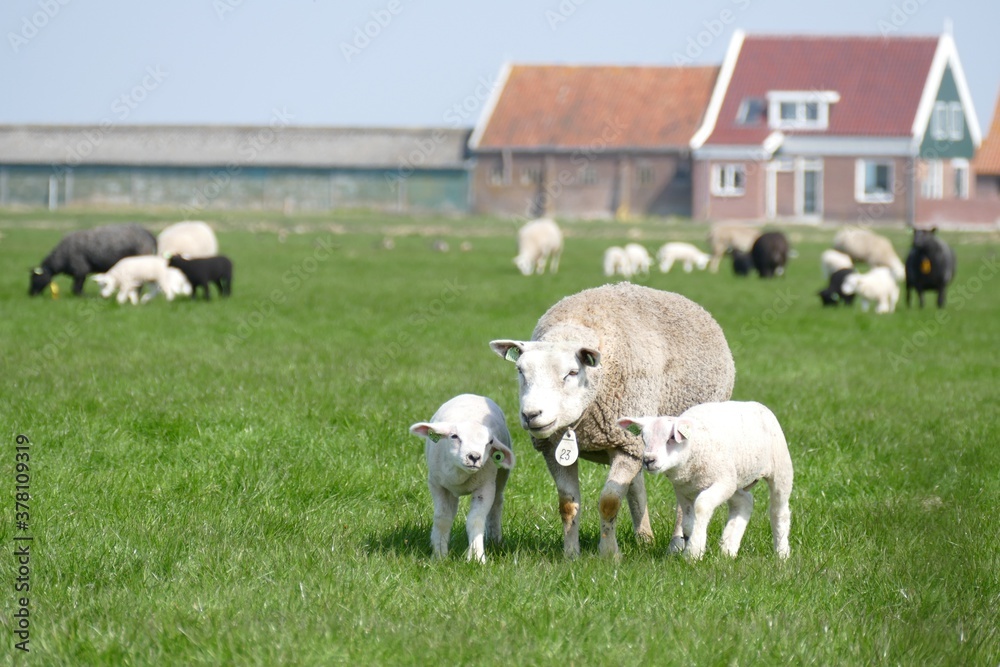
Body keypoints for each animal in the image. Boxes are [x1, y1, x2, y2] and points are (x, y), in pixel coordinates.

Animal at [408, 394, 515, 563]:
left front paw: (477, 557)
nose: (474, 457)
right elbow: (443, 518)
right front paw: (439, 556)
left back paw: (495, 539)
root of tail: (473, 395)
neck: (460, 474)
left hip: (500, 478)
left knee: (496, 504)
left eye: (490, 442)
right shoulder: (437, 485)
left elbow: (475, 520)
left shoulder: (485, 487)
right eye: (454, 436)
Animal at [490, 282, 735, 559]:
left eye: (572, 372)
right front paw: (571, 554)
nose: (531, 415)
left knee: (685, 498)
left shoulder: (624, 444)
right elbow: (567, 505)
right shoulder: (556, 448)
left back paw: (676, 544)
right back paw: (644, 538)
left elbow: (609, 502)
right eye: (520, 370)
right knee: (637, 486)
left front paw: (608, 554)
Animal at [617, 400, 792, 560]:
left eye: (671, 438)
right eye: (643, 439)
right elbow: (688, 523)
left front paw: (693, 552)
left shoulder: (722, 481)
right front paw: (692, 543)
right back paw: (728, 549)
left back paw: (781, 553)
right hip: (735, 477)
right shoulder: (683, 490)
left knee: (779, 511)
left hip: (780, 468)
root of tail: (757, 404)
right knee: (744, 502)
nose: (648, 460)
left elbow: (701, 506)